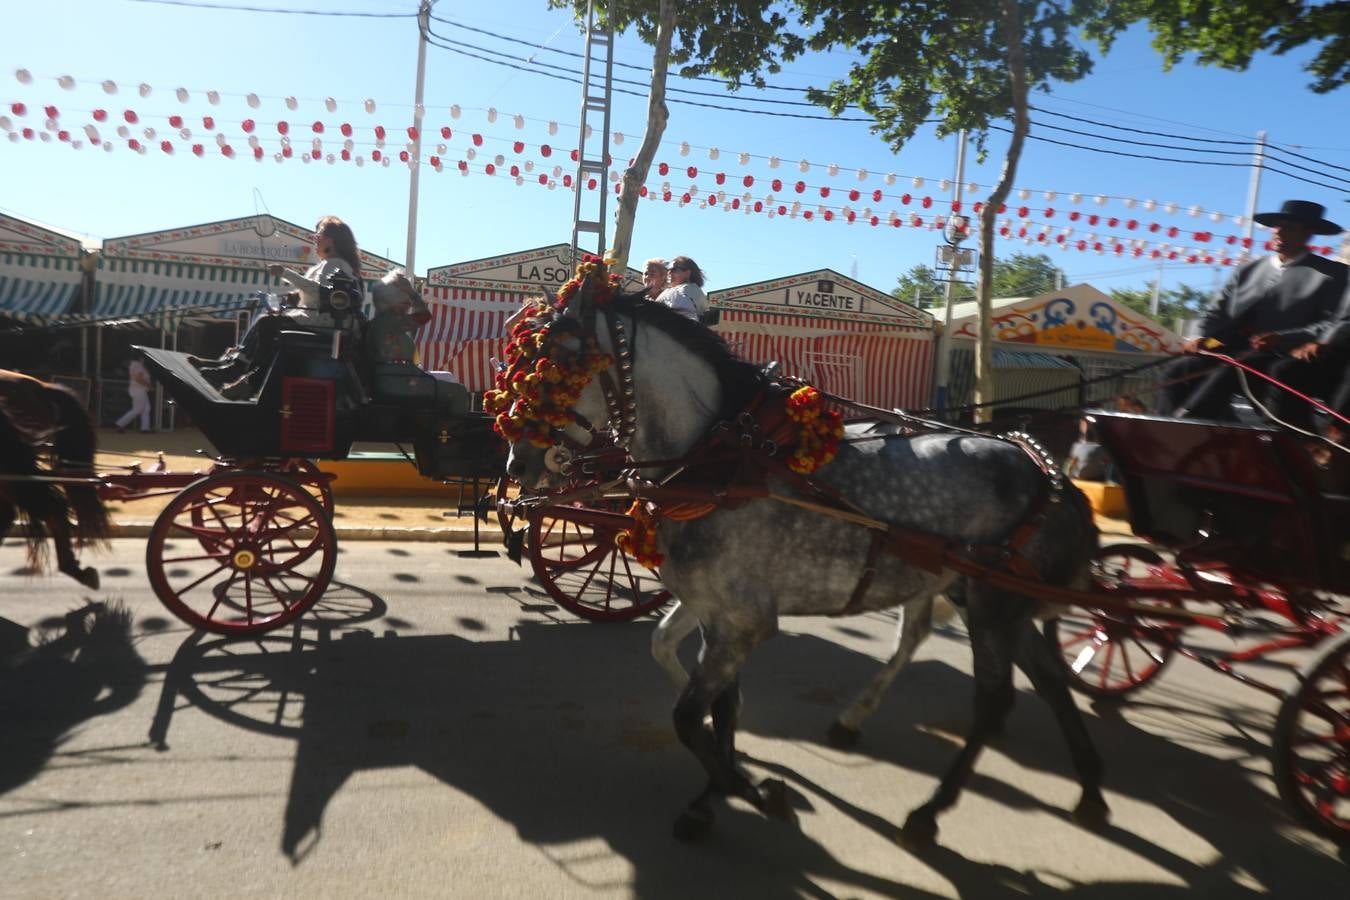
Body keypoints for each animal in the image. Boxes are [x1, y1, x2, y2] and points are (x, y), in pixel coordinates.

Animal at [507, 292, 1107, 847]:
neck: (720, 458)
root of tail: (1049, 472)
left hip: (992, 606)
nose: (519, 464)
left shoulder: (742, 622)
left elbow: (689, 717)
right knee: (1048, 681)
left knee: (995, 700)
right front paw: (713, 796)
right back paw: (1090, 793)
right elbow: (715, 703)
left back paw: (929, 812)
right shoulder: (713, 611)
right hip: (990, 602)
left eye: (559, 358)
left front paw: (752, 792)